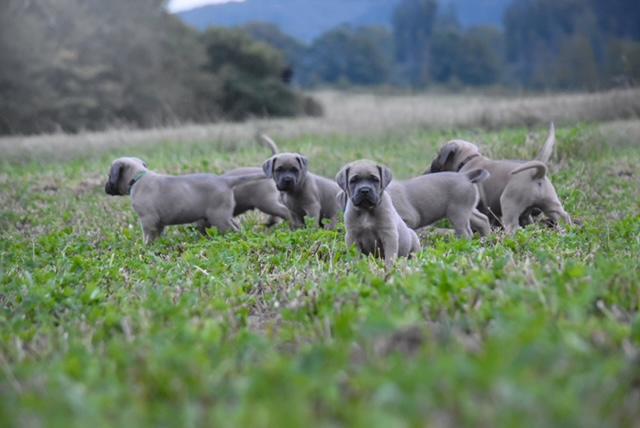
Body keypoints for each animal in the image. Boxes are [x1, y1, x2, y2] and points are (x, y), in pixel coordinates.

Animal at [105, 157, 264, 244]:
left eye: (109, 175)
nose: (105, 188)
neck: (138, 177)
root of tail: (225, 181)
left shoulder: (147, 220)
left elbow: (148, 236)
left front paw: (145, 247)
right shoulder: (158, 223)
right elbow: (157, 236)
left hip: (219, 217)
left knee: (233, 230)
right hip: (224, 215)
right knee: (237, 227)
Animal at [430, 122, 568, 236]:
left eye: (439, 155)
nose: (429, 168)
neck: (470, 158)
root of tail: (536, 173)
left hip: (508, 202)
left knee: (513, 226)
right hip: (550, 204)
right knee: (562, 216)